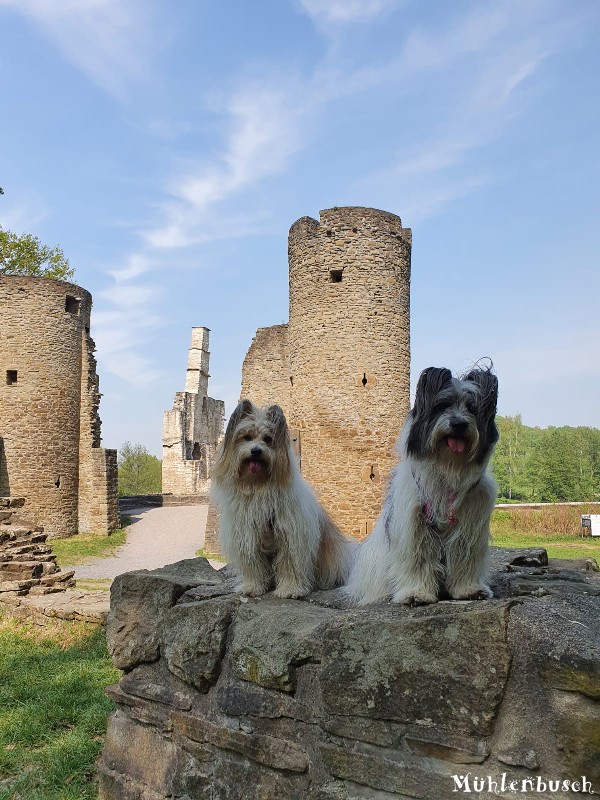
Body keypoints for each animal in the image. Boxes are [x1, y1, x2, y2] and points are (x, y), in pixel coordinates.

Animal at [211, 400, 354, 600]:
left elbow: (289, 565)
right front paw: (253, 587)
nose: (256, 451)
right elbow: (254, 566)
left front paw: (290, 589)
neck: (258, 485)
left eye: (268, 439)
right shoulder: (247, 537)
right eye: (247, 437)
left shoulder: (290, 538)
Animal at [344, 364, 500, 608]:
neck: (448, 466)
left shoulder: (470, 523)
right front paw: (415, 593)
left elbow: (466, 558)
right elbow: (417, 560)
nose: (458, 424)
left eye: (472, 408)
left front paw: (469, 589)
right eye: (442, 405)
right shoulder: (414, 524)